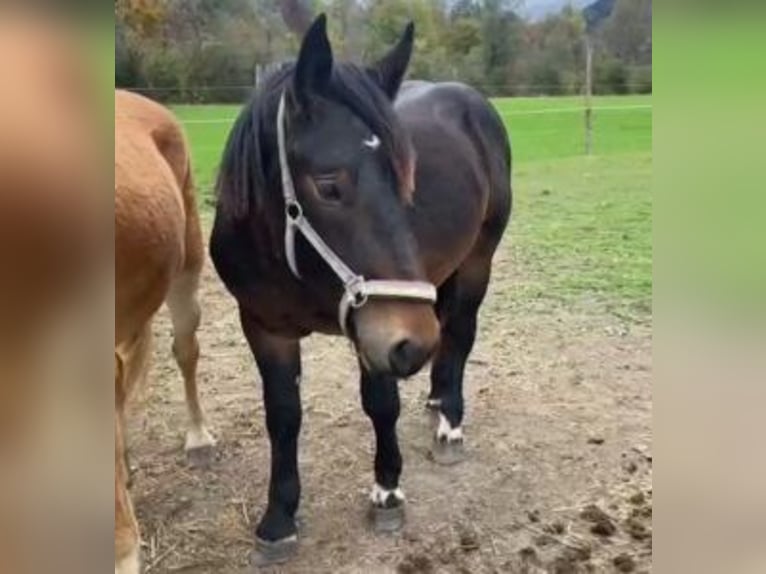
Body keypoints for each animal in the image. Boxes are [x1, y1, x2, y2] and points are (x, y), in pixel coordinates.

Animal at [212, 14, 510, 568]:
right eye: (329, 184)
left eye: (406, 177)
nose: (414, 344)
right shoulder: (263, 326)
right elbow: (282, 416)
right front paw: (278, 519)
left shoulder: (375, 328)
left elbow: (381, 403)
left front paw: (387, 491)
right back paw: (436, 398)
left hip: (476, 262)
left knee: (459, 334)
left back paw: (449, 424)